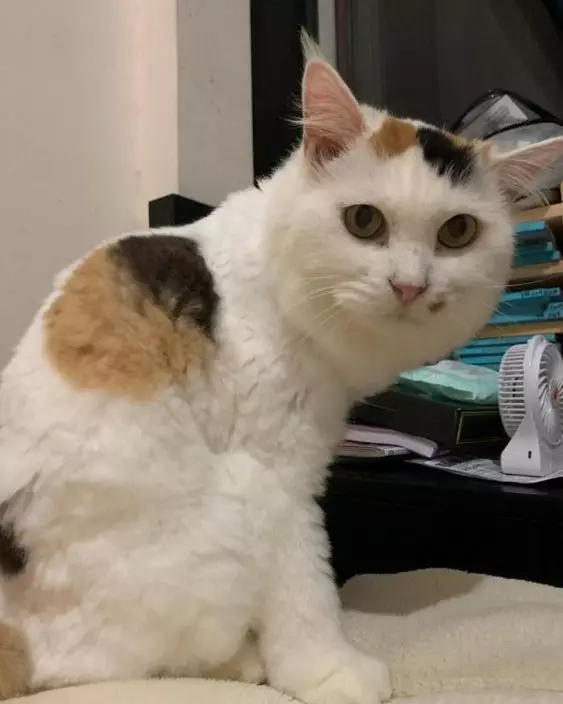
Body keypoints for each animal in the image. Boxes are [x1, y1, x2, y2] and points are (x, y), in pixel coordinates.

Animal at [0, 38, 562, 704]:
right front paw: (329, 671)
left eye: (458, 232)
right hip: (212, 531)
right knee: (103, 663)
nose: (409, 285)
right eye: (364, 222)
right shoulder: (275, 476)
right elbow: (305, 583)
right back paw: (245, 663)